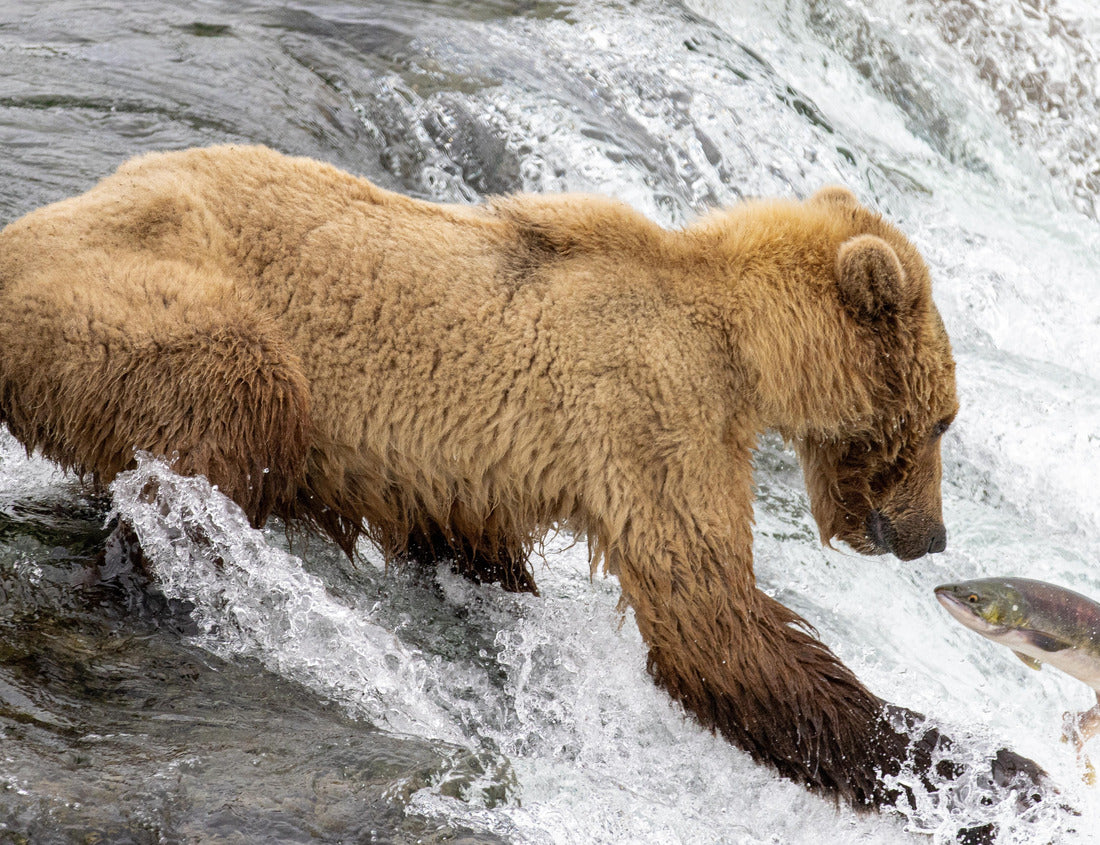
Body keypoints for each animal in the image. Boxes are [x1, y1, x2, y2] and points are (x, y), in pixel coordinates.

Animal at [0, 146, 1044, 816]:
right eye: (944, 418)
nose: (930, 535)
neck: (743, 348)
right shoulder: (652, 415)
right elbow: (714, 623)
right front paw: (993, 769)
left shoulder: (478, 472)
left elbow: (475, 545)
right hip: (137, 305)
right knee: (233, 400)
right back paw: (162, 579)